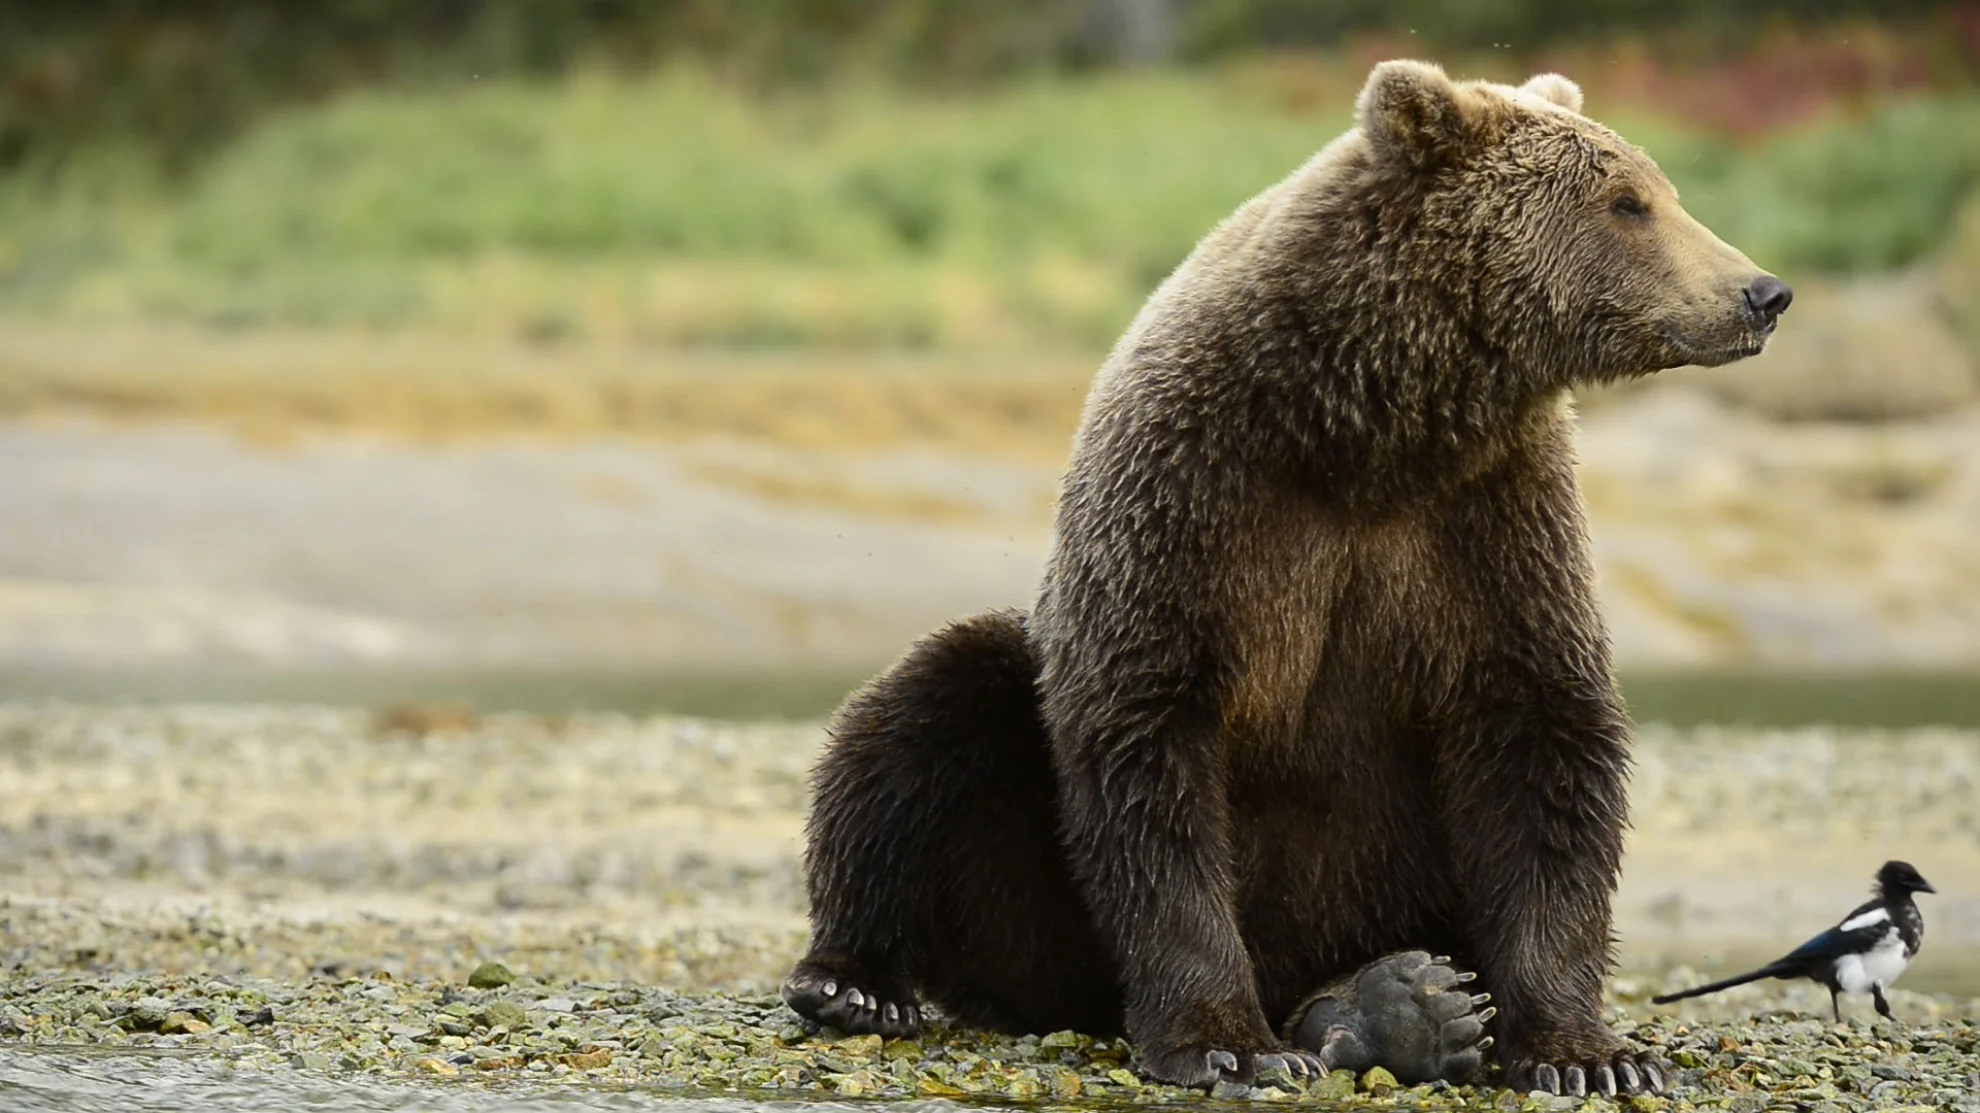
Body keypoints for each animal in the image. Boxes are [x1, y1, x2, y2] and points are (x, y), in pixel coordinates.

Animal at [780, 58, 1790, 1099]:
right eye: (1629, 202)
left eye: (1660, 189)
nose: (1762, 291)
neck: (1372, 423)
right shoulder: (1195, 494)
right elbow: (1148, 741)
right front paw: (1225, 1039)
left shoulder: (1493, 520)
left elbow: (1542, 735)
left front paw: (1591, 1052)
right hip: (1029, 888)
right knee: (927, 712)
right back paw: (856, 981)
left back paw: (1401, 1004)